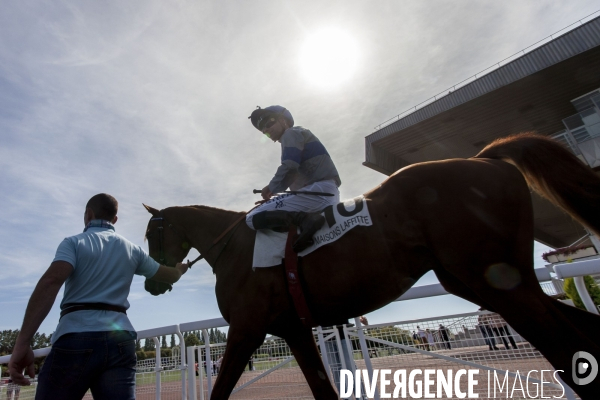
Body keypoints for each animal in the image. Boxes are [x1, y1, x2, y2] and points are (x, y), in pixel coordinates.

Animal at [143, 134, 596, 400]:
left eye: (151, 234)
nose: (153, 285)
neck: (235, 244)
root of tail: (484, 159)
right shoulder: (293, 329)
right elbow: (322, 389)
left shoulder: (245, 328)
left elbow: (221, 390)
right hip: (479, 281)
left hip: (497, 282)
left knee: (564, 342)